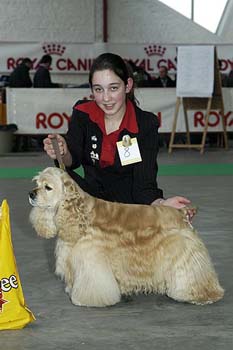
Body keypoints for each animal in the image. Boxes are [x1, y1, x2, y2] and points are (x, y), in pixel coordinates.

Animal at [28, 167, 224, 306]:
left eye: (48, 187)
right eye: (36, 183)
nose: (31, 193)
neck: (80, 213)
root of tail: (180, 213)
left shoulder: (92, 259)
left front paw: (84, 299)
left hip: (184, 254)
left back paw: (200, 295)